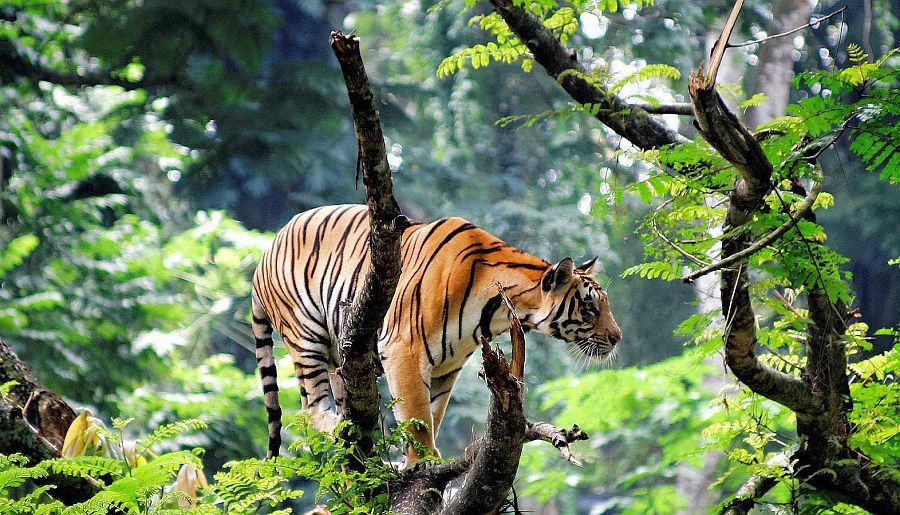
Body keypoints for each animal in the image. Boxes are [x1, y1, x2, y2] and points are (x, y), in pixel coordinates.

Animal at [250, 204, 624, 466]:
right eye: (590, 308)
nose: (617, 338)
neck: (499, 311)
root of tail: (264, 253)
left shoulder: (447, 366)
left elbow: (433, 413)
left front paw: (415, 461)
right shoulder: (404, 349)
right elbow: (417, 416)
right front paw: (422, 463)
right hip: (306, 337)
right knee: (308, 410)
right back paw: (343, 429)